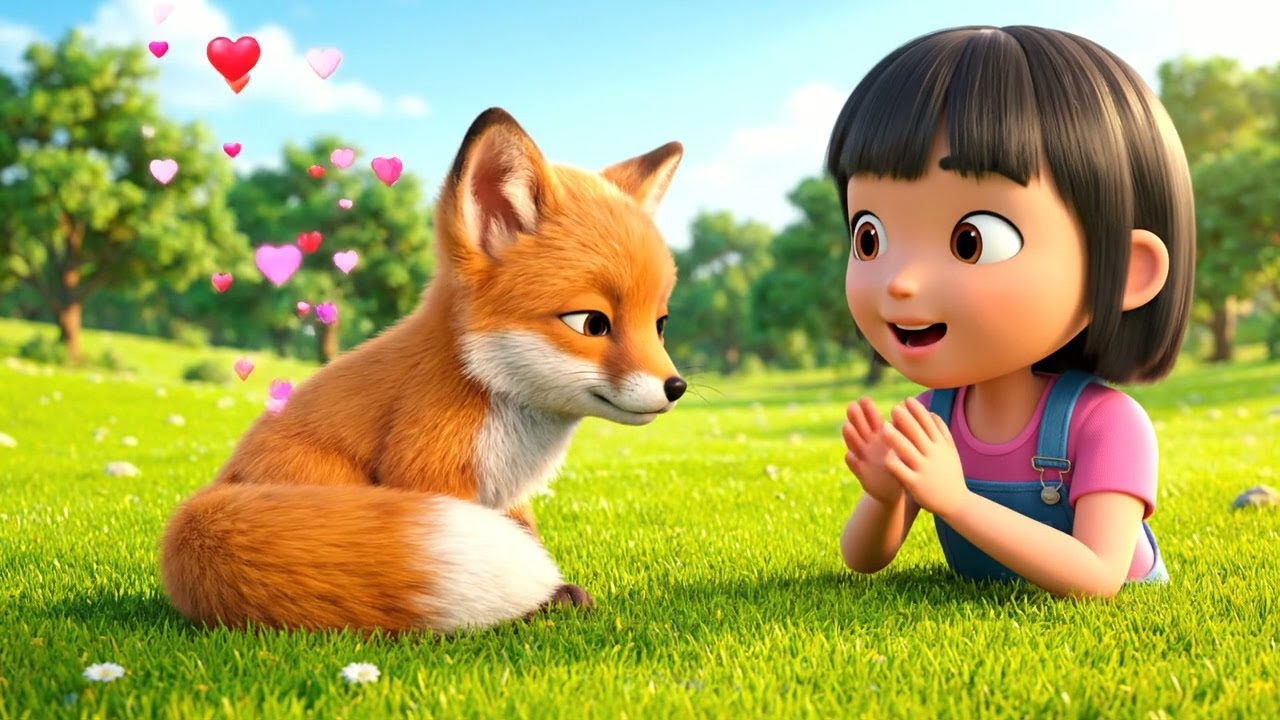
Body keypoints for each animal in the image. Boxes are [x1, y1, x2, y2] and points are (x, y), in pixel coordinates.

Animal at [159, 107, 687, 634]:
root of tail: (203, 505)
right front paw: (535, 602)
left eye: (660, 324)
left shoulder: (508, 501)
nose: (676, 387)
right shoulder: (427, 462)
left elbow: (528, 537)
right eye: (591, 323)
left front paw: (554, 592)